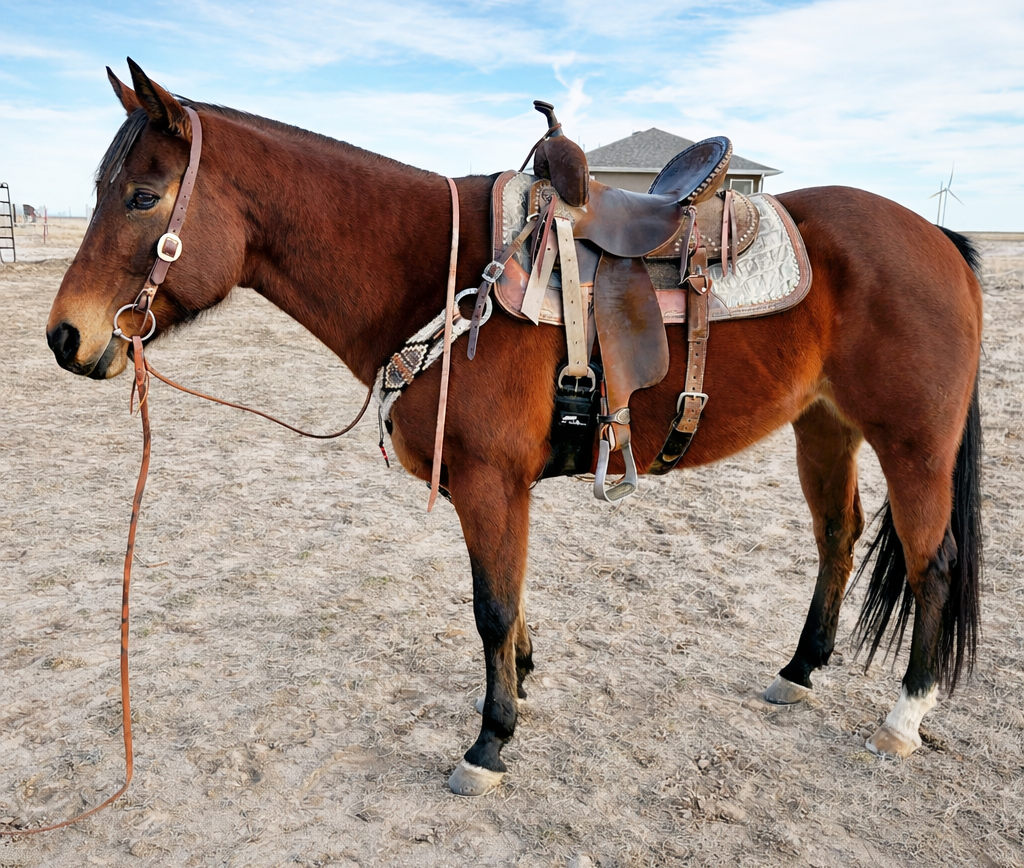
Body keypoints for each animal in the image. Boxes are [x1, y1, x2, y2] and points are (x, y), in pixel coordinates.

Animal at [46, 60, 983, 798]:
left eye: (141, 196)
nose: (65, 337)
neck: (446, 271)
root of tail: (935, 235)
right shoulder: (497, 490)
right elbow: (515, 595)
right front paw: (522, 687)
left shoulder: (490, 482)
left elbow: (491, 607)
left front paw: (490, 741)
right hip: (824, 428)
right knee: (838, 537)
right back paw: (798, 671)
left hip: (913, 444)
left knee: (931, 562)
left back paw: (905, 714)